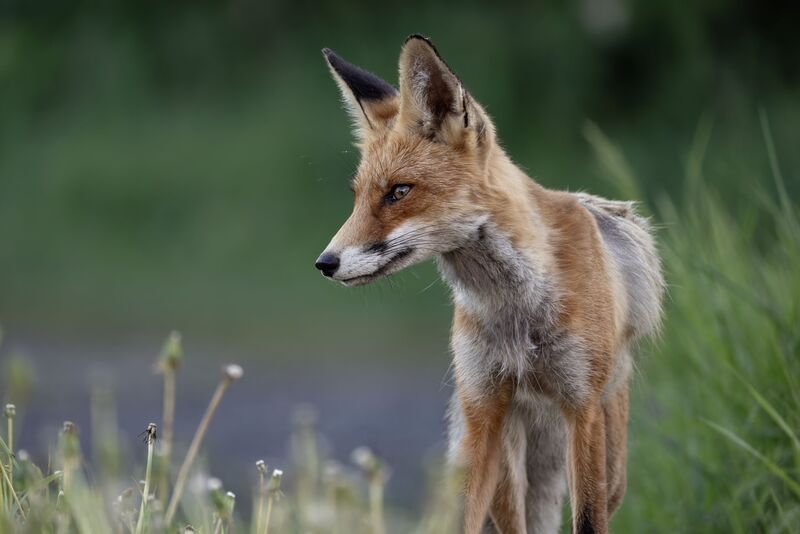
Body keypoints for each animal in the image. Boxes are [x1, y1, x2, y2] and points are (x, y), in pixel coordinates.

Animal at [315, 35, 664, 534]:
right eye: (357, 196)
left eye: (399, 192)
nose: (325, 263)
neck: (516, 307)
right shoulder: (482, 411)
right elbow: (461, 516)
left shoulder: (582, 409)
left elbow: (586, 519)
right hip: (504, 451)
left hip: (608, 451)